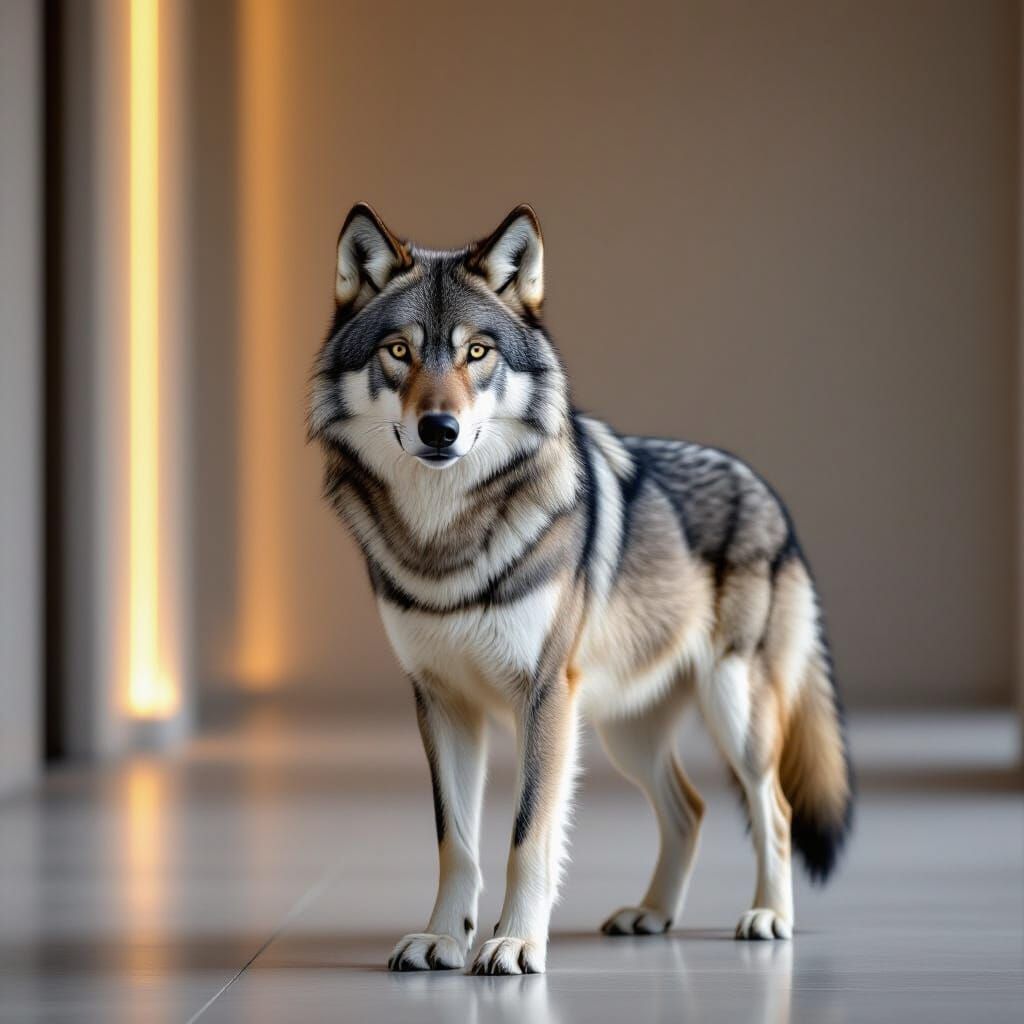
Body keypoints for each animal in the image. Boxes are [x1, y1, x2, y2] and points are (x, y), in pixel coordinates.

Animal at [308, 203, 853, 975]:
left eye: (478, 353)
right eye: (399, 351)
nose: (439, 429)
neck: (447, 540)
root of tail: (766, 489)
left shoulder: (543, 697)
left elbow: (527, 834)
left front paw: (513, 943)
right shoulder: (443, 703)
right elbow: (456, 842)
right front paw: (443, 938)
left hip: (730, 709)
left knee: (771, 808)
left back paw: (769, 916)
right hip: (624, 729)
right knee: (691, 808)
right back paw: (651, 915)